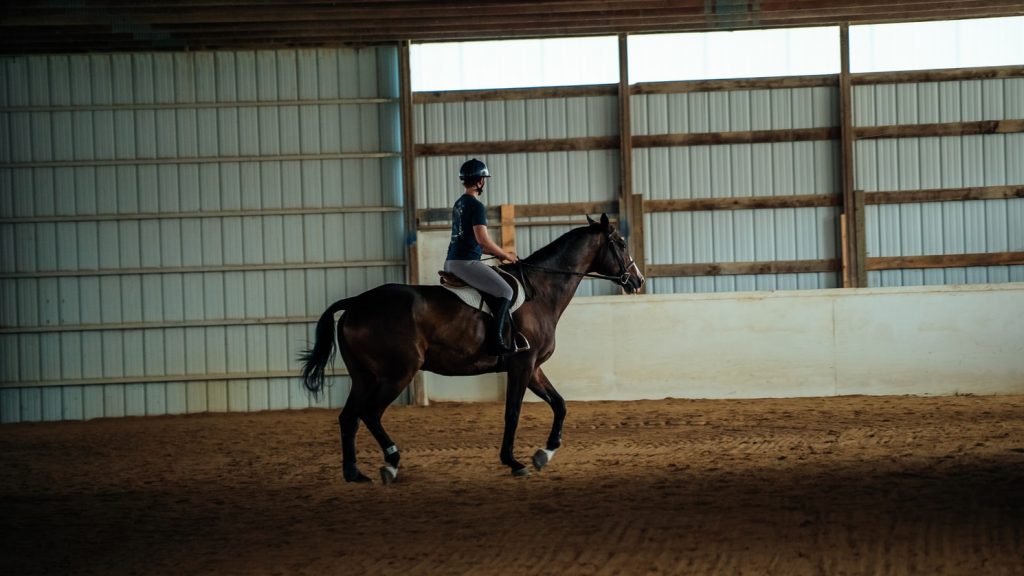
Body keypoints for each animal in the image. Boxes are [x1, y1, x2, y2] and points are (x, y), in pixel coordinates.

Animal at [299, 211, 643, 479]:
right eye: (621, 244)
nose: (638, 281)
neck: (541, 291)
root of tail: (356, 303)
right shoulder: (522, 364)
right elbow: (512, 412)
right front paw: (514, 462)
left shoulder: (532, 367)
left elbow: (559, 404)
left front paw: (544, 454)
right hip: (397, 373)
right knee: (370, 413)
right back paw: (391, 463)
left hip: (364, 376)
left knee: (349, 417)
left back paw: (354, 473)